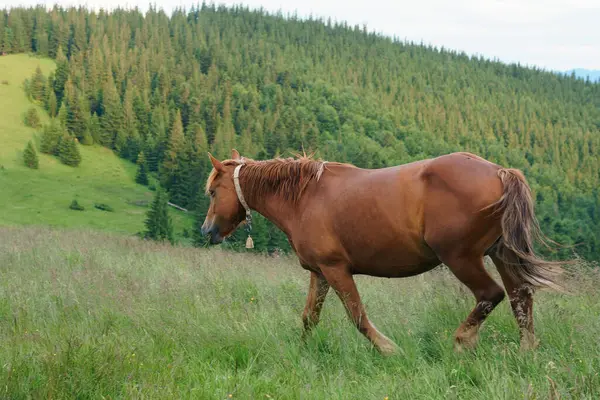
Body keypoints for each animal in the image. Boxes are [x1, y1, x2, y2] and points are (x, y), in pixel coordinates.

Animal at [202, 149, 568, 354]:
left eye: (212, 191)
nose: (207, 231)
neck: (304, 197)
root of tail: (500, 172)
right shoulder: (320, 272)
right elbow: (309, 318)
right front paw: (300, 353)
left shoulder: (336, 270)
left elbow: (358, 317)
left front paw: (390, 350)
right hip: (501, 253)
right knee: (520, 296)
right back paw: (525, 351)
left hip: (461, 258)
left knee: (491, 294)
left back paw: (463, 340)